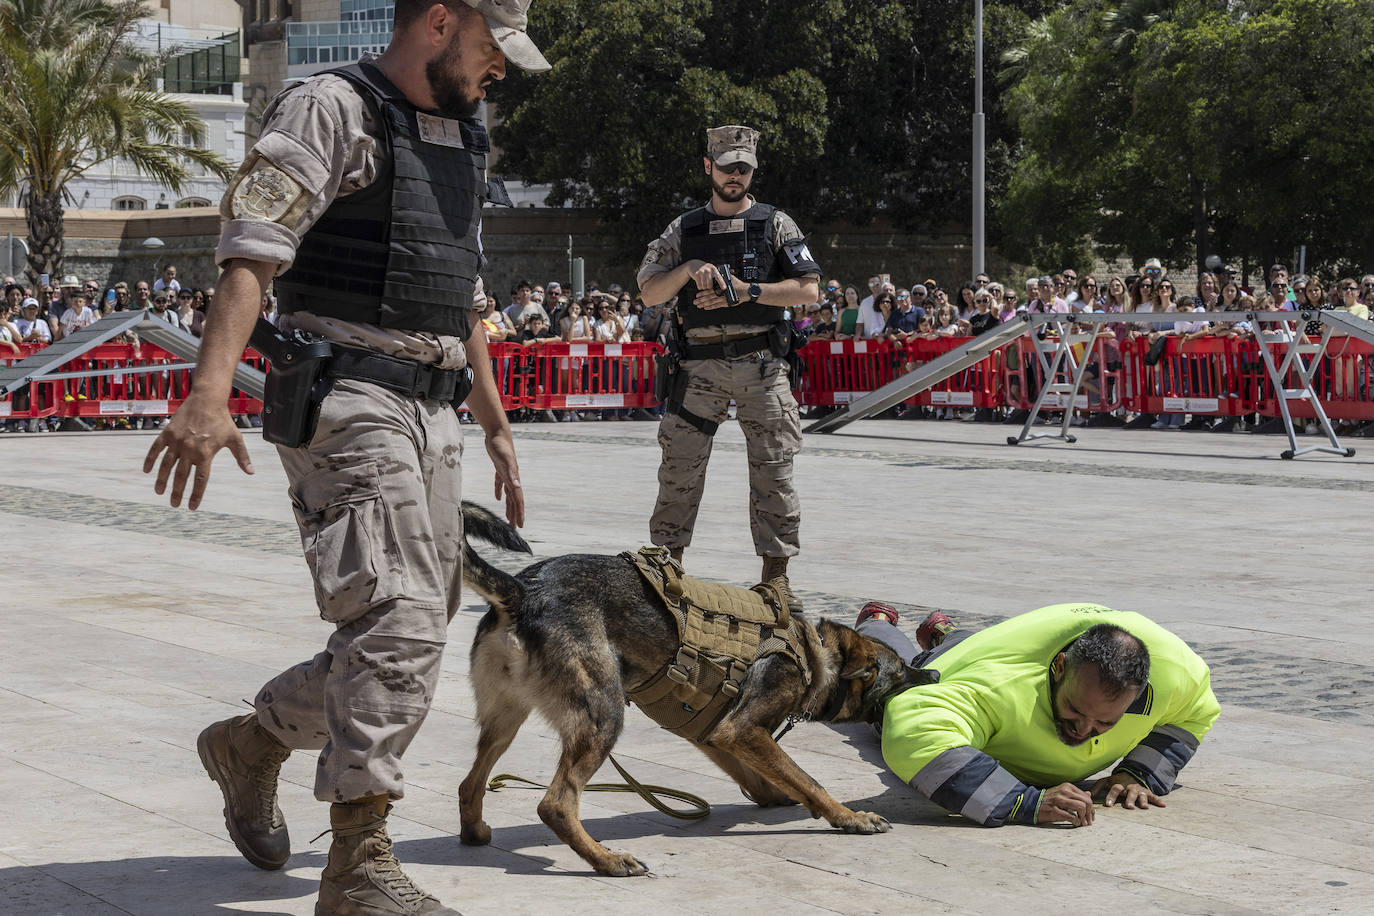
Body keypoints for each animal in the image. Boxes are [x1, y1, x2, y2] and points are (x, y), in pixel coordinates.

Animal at [453, 505, 934, 878]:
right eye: (899, 672)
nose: (932, 675)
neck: (812, 654)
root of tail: (523, 592)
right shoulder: (743, 730)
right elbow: (809, 779)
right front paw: (849, 817)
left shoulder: (717, 734)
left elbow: (763, 777)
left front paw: (777, 795)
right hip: (603, 716)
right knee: (555, 804)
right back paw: (607, 861)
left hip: (505, 720)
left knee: (469, 784)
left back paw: (475, 834)